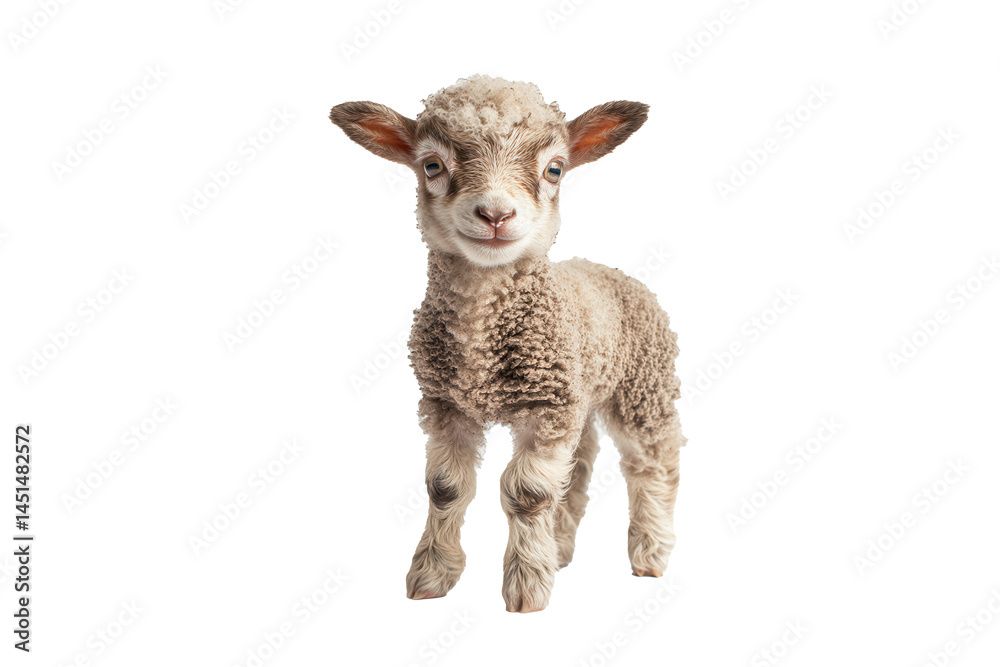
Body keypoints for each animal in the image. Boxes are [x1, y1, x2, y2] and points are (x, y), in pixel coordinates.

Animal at [329, 75, 684, 613]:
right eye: (432, 165)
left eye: (554, 169)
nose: (495, 214)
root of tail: (608, 269)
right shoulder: (446, 402)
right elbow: (445, 488)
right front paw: (431, 576)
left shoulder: (545, 408)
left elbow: (527, 493)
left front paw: (526, 586)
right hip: (578, 399)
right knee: (579, 468)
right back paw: (560, 548)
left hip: (641, 387)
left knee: (654, 461)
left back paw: (649, 552)